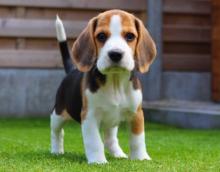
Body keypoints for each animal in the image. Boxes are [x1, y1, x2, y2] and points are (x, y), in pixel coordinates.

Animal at [51, 9, 156, 164]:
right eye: (101, 36)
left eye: (130, 36)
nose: (115, 54)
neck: (115, 81)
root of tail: (71, 70)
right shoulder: (89, 116)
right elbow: (94, 141)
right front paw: (98, 161)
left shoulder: (136, 113)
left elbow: (137, 139)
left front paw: (141, 158)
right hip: (58, 114)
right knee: (57, 131)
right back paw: (56, 150)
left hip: (112, 121)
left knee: (110, 139)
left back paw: (118, 154)